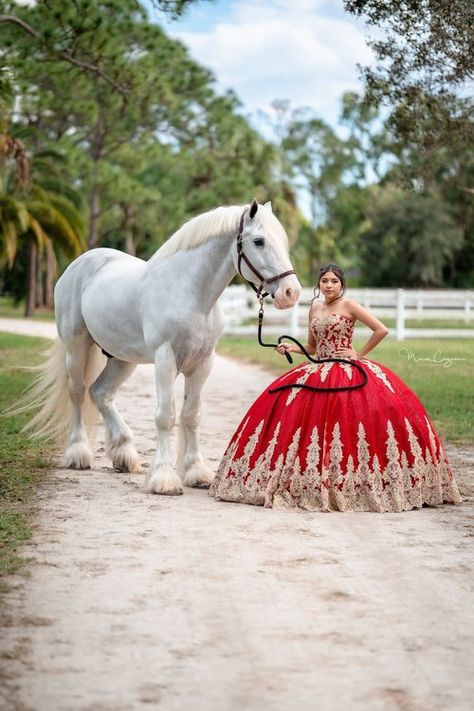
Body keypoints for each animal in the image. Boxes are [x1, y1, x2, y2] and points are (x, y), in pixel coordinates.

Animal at [22, 197, 300, 492]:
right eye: (258, 241)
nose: (291, 293)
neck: (190, 293)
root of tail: (78, 264)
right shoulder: (165, 359)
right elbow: (166, 415)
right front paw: (164, 478)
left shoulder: (203, 363)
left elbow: (192, 415)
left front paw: (196, 472)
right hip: (76, 346)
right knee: (77, 391)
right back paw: (78, 453)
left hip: (122, 359)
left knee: (100, 393)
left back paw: (123, 453)